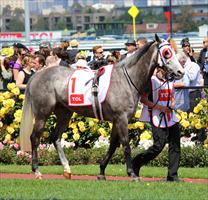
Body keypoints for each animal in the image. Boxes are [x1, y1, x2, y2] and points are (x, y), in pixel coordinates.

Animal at [19, 35, 184, 180]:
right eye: (167, 52)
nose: (180, 72)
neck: (126, 79)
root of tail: (37, 75)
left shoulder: (117, 120)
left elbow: (112, 145)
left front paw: (101, 172)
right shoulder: (121, 118)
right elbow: (125, 144)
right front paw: (132, 173)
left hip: (64, 113)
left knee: (55, 137)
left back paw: (67, 170)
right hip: (42, 113)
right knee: (34, 137)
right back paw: (37, 171)